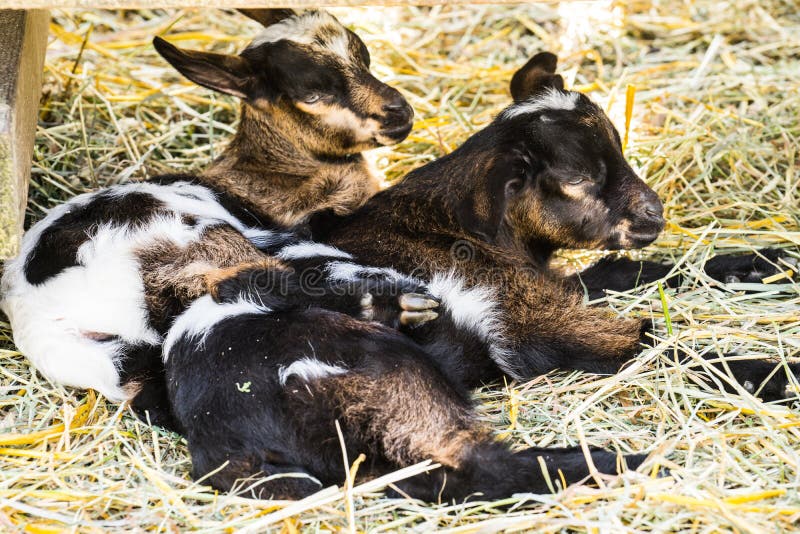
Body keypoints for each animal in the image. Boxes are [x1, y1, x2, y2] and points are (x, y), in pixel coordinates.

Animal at [0, 9, 422, 431]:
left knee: (150, 395)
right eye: (312, 94)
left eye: (362, 56)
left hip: (124, 357)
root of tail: (41, 322)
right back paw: (395, 306)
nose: (400, 112)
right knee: (252, 281)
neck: (278, 168)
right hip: (190, 241)